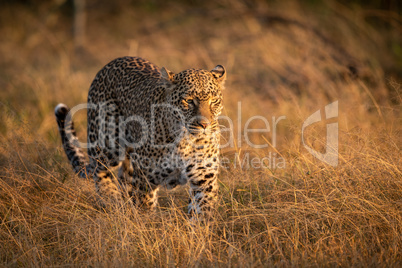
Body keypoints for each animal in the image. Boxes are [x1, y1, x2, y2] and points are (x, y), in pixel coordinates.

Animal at [55, 56, 226, 218]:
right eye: (189, 101)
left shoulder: (204, 178)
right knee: (100, 170)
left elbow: (201, 214)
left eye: (214, 101)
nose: (204, 124)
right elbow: (145, 210)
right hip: (108, 143)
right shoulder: (145, 180)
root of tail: (111, 64)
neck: (185, 140)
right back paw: (111, 200)